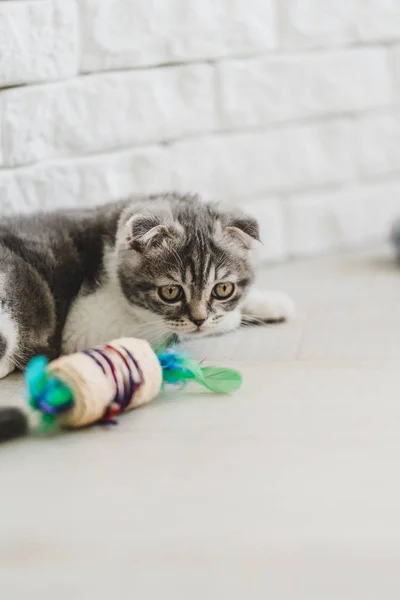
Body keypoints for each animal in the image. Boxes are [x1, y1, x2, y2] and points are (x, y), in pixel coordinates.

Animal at [0, 195, 294, 378]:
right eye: (171, 292)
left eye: (222, 289)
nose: (199, 320)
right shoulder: (84, 327)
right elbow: (168, 330)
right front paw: (234, 318)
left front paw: (271, 302)